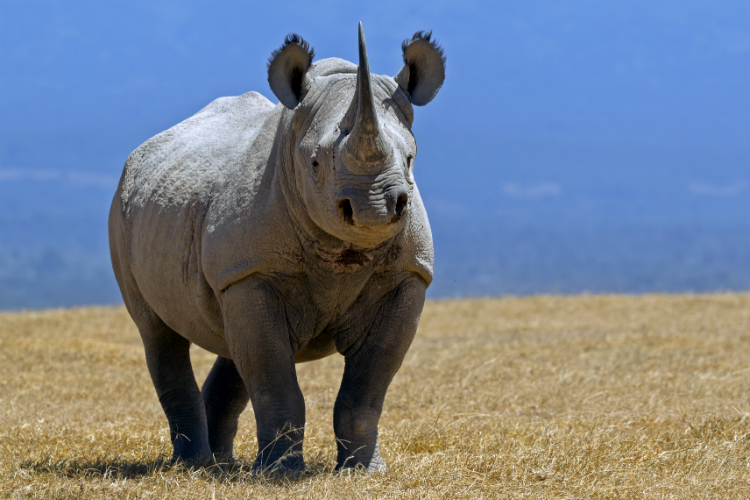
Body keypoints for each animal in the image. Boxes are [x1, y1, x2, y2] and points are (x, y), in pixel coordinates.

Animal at [107, 24, 446, 472]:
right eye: (315, 164)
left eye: (410, 159)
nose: (375, 209)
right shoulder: (253, 271)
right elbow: (274, 379)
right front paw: (279, 474)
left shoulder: (406, 276)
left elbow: (367, 389)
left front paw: (363, 472)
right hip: (122, 212)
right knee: (159, 334)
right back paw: (195, 465)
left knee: (231, 342)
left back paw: (223, 464)